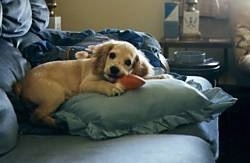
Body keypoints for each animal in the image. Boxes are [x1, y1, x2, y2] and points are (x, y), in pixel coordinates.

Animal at [13, 39, 164, 127]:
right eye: (112, 55)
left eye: (128, 62)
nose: (114, 69)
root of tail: (22, 82)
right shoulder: (86, 83)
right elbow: (101, 84)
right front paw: (112, 88)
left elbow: (147, 77)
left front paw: (162, 76)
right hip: (55, 95)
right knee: (35, 116)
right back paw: (55, 122)